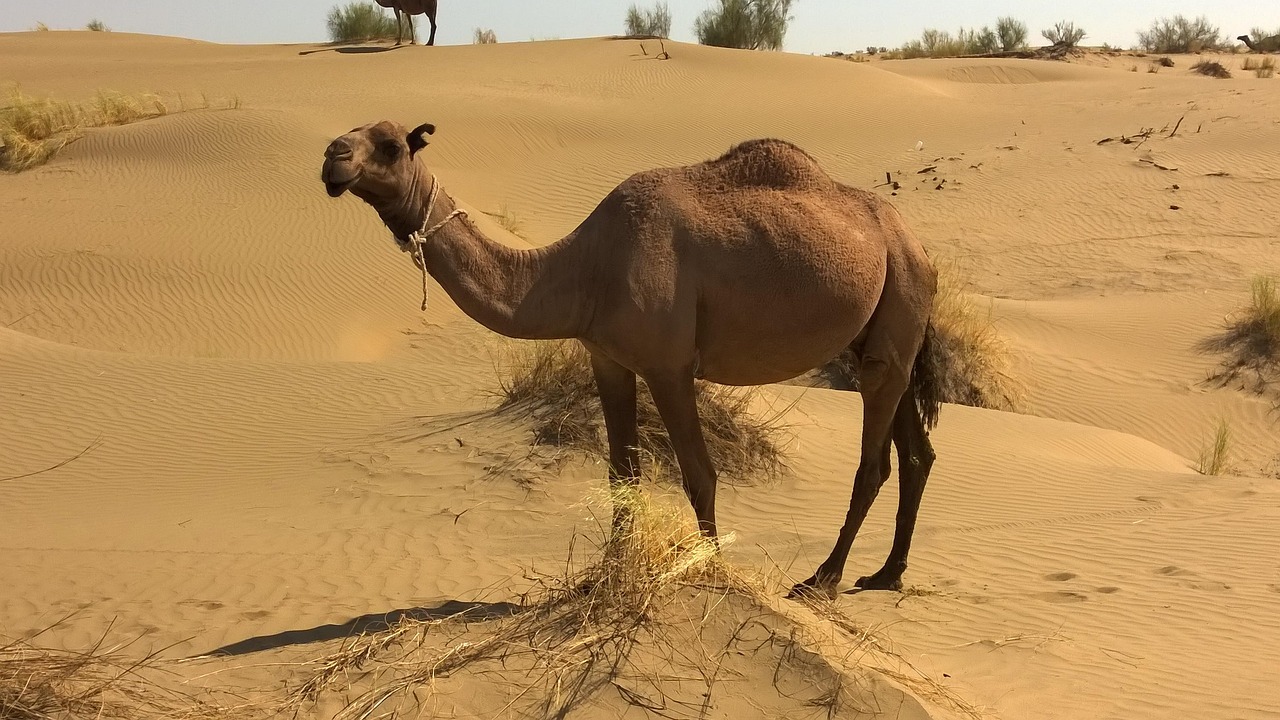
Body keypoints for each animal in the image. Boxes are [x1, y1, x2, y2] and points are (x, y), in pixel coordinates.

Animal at [320, 120, 943, 597]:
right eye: (351, 136)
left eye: (390, 145)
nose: (332, 157)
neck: (585, 268)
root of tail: (915, 244)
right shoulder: (608, 359)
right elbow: (622, 472)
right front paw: (607, 575)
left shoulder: (669, 366)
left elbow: (698, 473)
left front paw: (710, 571)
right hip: (888, 331)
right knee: (917, 451)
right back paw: (886, 574)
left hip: (897, 304)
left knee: (875, 462)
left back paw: (824, 579)